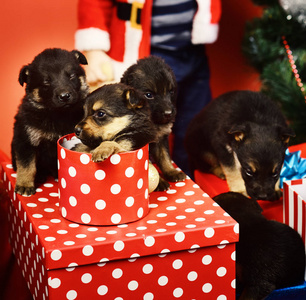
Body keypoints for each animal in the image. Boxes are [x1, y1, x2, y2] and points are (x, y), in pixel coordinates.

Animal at [11, 48, 88, 196]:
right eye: (46, 81)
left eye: (71, 76)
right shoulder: (25, 139)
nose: (65, 96)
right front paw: (24, 184)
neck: (58, 114)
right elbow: (26, 165)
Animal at [120, 55, 185, 191]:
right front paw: (159, 182)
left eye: (171, 92)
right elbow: (148, 165)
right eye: (149, 95)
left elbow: (165, 157)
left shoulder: (162, 138)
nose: (168, 113)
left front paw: (171, 172)